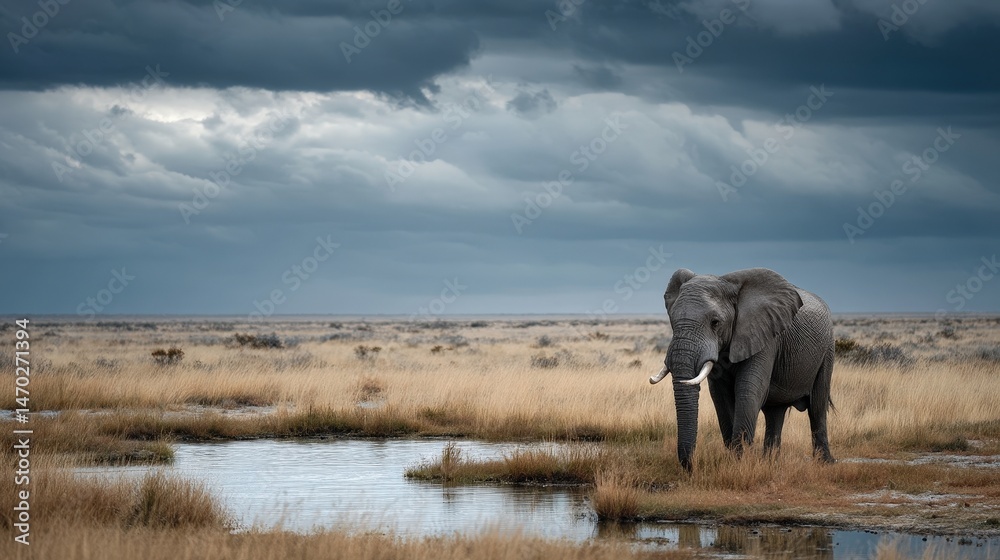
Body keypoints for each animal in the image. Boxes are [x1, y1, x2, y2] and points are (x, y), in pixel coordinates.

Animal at [648, 268, 835, 471]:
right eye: (672, 321)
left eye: (715, 322)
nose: (691, 468)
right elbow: (720, 396)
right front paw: (734, 460)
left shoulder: (765, 335)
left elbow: (748, 390)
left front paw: (738, 463)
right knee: (775, 412)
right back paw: (770, 462)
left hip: (827, 350)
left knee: (817, 407)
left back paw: (825, 462)